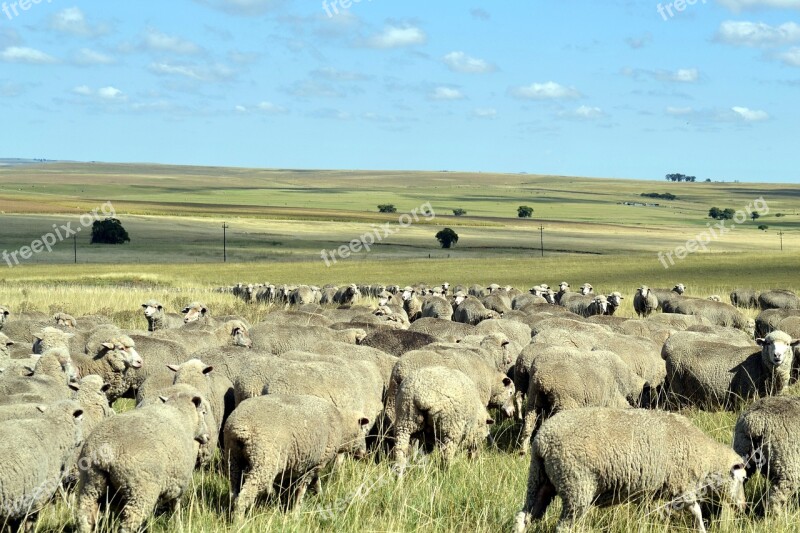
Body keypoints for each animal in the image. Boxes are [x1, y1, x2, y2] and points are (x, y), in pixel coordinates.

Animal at [75, 386, 211, 532]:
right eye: (203, 412)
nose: (207, 437)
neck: (181, 414)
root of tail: (105, 452)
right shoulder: (179, 483)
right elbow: (175, 507)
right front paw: (178, 526)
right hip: (140, 491)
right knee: (128, 524)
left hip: (89, 484)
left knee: (85, 517)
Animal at [223, 394, 370, 516]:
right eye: (364, 431)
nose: (364, 454)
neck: (341, 425)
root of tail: (241, 427)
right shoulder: (314, 465)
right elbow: (301, 489)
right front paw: (296, 512)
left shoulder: (313, 463)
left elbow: (316, 482)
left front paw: (319, 496)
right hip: (264, 460)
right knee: (245, 496)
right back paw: (239, 522)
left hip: (233, 458)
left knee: (234, 492)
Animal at [516, 408, 748, 532]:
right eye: (743, 479)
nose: (743, 506)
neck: (704, 456)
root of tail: (543, 440)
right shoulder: (682, 485)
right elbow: (696, 511)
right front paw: (701, 529)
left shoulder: (649, 492)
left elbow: (651, 514)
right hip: (576, 485)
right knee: (563, 526)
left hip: (539, 480)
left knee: (524, 516)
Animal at [664, 328, 800, 408]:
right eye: (768, 343)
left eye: (788, 344)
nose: (777, 356)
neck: (760, 364)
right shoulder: (744, 396)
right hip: (677, 384)